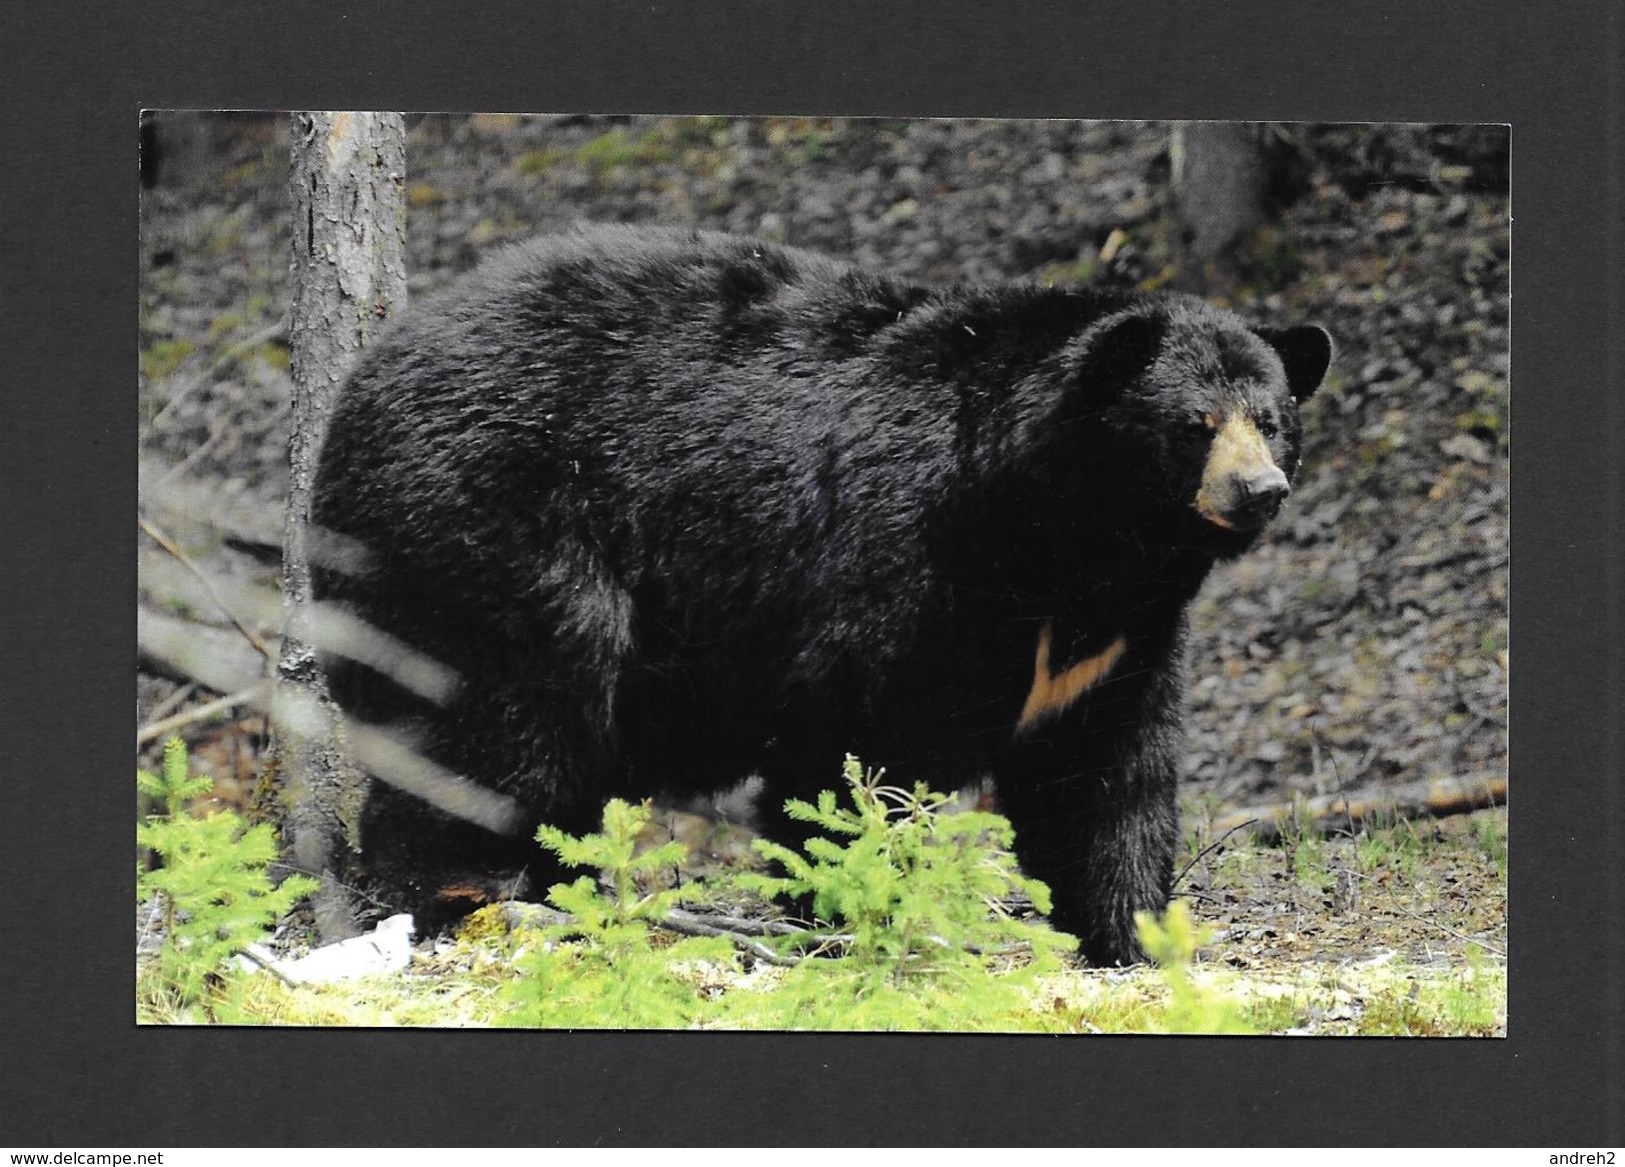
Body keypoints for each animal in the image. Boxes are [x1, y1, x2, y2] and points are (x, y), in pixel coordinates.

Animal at [310, 224, 1326, 962]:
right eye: (1193, 424)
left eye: (1271, 418)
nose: (1260, 489)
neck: (1059, 542)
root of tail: (361, 383)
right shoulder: (905, 557)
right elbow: (850, 742)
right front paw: (853, 906)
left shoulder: (1118, 635)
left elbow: (1106, 772)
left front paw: (1135, 935)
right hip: (495, 535)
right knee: (492, 718)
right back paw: (468, 890)